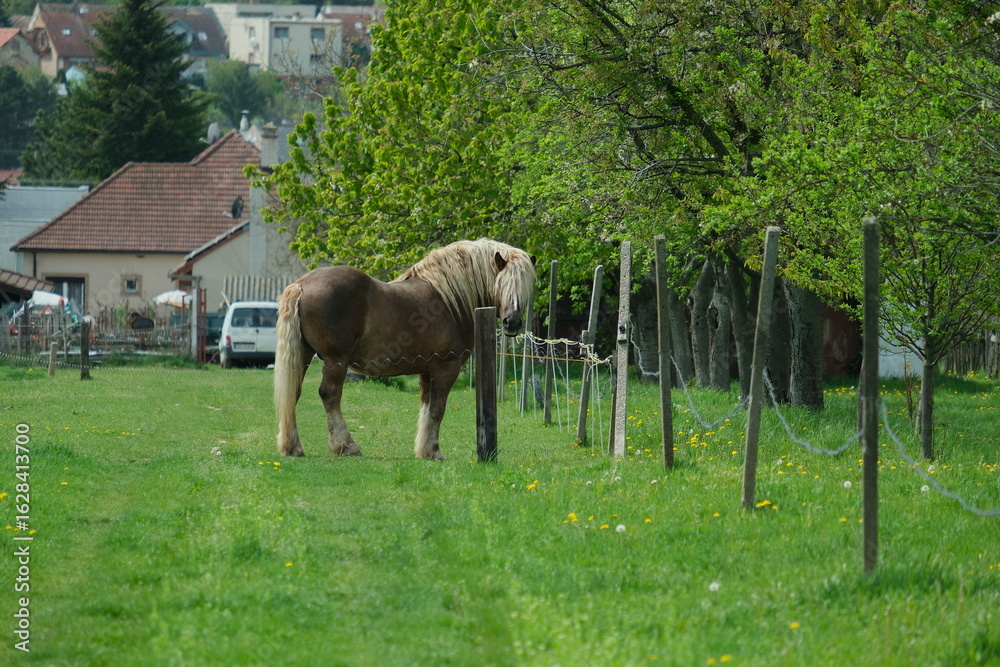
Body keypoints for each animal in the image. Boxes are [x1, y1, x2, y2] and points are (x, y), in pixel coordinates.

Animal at [274, 238, 536, 460]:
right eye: (501, 284)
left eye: (525, 288)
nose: (511, 323)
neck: (449, 299)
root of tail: (302, 284)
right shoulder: (446, 368)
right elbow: (438, 409)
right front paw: (434, 452)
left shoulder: (427, 371)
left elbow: (426, 409)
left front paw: (424, 450)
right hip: (334, 359)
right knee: (330, 394)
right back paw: (346, 445)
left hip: (304, 355)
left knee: (293, 393)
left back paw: (292, 446)